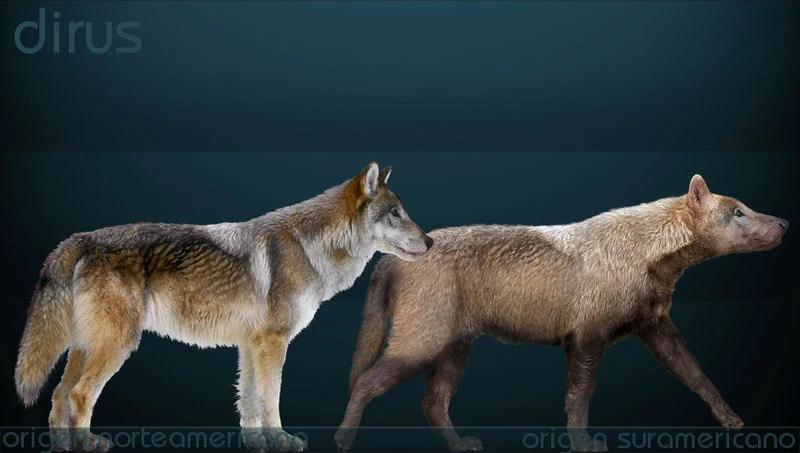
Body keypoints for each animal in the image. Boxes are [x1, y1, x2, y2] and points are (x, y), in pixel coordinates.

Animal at [14, 162, 434, 452]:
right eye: (395, 214)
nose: (430, 241)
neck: (310, 247)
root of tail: (77, 239)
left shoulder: (250, 345)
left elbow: (249, 403)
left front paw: (257, 445)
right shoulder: (273, 343)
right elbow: (270, 400)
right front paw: (281, 441)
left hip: (86, 346)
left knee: (57, 396)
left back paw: (63, 446)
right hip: (117, 345)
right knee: (78, 395)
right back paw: (87, 444)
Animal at [335, 175, 788, 452]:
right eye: (738, 212)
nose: (784, 222)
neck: (647, 253)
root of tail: (388, 260)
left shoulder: (656, 327)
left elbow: (697, 375)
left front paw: (731, 420)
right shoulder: (587, 339)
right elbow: (579, 399)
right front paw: (584, 445)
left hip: (454, 350)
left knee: (432, 402)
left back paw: (461, 444)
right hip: (420, 344)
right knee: (366, 382)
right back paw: (342, 439)